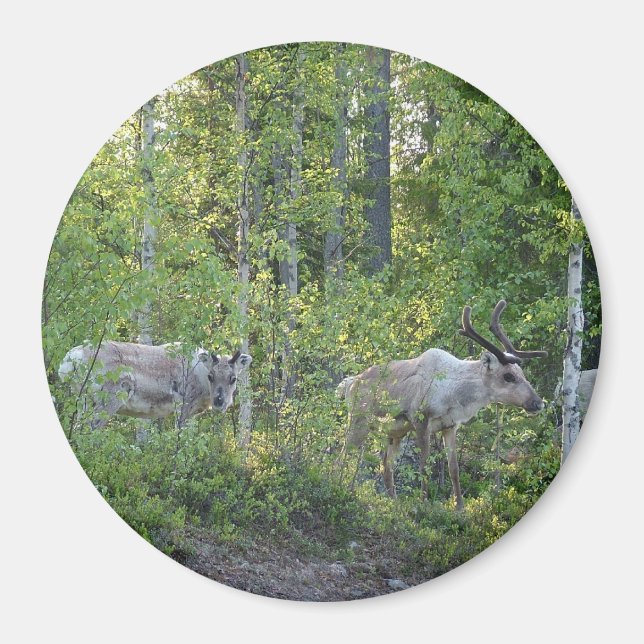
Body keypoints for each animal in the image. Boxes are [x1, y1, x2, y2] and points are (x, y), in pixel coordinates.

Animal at [58, 341, 252, 430]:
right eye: (211, 376)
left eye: (233, 378)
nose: (219, 401)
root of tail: (69, 360)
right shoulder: (184, 406)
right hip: (106, 401)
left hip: (83, 402)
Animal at [337, 300, 547, 510]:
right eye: (508, 376)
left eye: (521, 373)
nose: (538, 403)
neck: (454, 394)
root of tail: (349, 383)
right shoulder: (421, 420)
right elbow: (424, 465)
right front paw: (423, 503)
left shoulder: (450, 426)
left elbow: (453, 468)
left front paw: (459, 507)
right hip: (358, 422)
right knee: (343, 456)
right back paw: (340, 487)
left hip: (393, 432)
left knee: (385, 465)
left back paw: (393, 503)